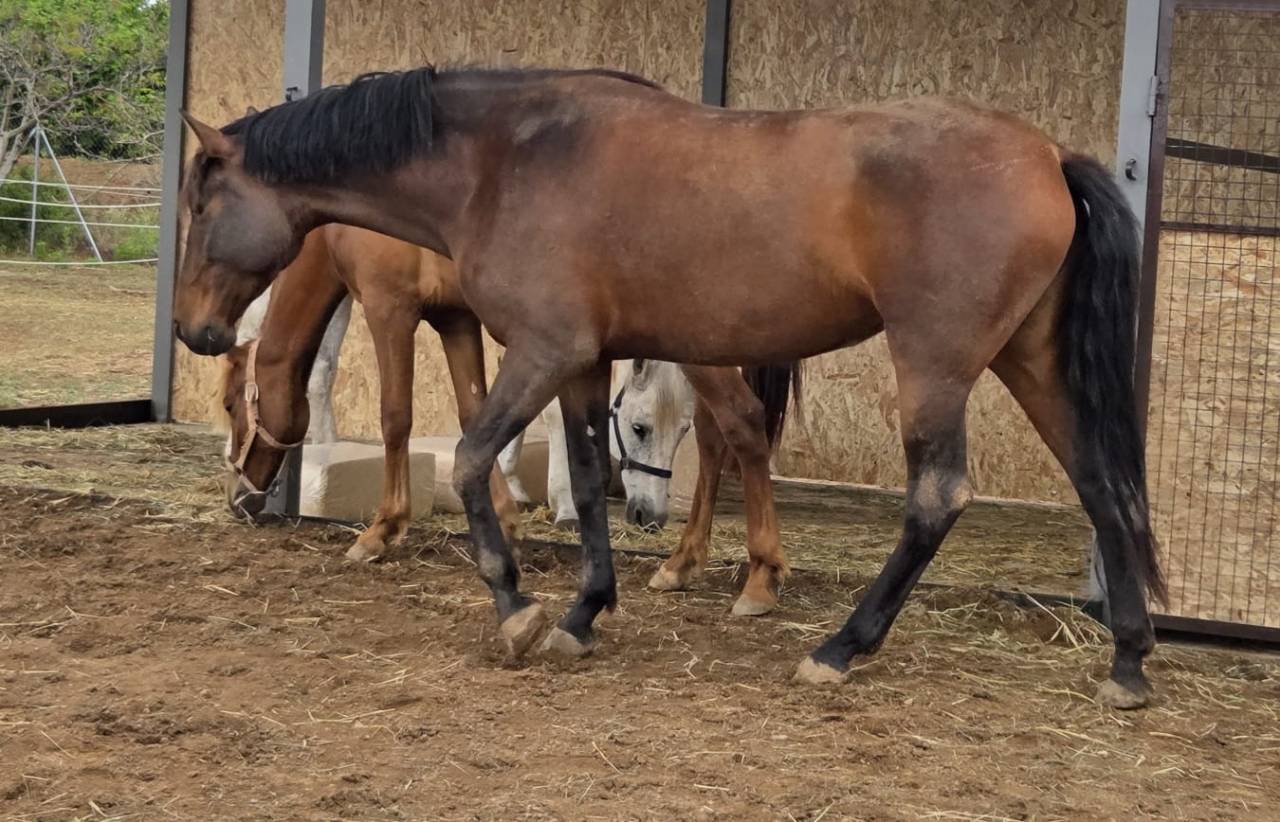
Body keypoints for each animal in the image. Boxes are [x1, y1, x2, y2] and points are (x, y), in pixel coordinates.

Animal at [216, 220, 799, 615]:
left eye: (228, 405)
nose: (240, 499)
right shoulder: (454, 317)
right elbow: (473, 412)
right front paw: (509, 523)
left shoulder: (390, 309)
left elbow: (396, 417)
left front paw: (382, 530)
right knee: (713, 435)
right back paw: (683, 563)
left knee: (741, 422)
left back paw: (759, 579)